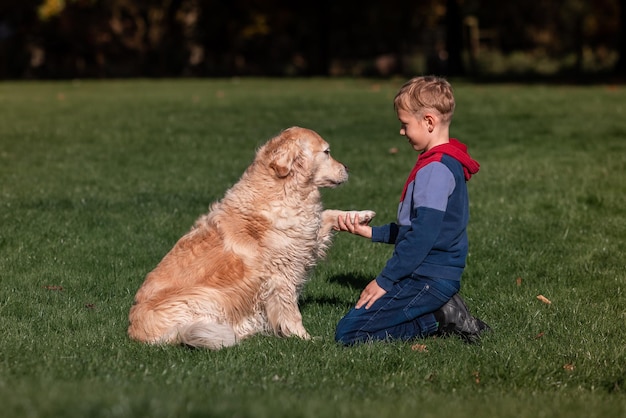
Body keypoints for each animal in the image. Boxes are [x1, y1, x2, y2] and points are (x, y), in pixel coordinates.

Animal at [126, 126, 370, 350]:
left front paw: (359, 216)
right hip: (206, 297)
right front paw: (304, 338)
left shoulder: (304, 236)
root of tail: (134, 332)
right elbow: (291, 312)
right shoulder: (281, 276)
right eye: (327, 152)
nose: (348, 168)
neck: (283, 187)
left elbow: (327, 214)